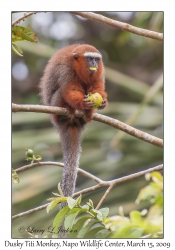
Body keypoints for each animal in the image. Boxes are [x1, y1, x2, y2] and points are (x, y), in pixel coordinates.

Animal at [39, 44, 107, 199]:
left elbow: (97, 87)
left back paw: (86, 115)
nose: (94, 64)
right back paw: (67, 113)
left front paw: (103, 102)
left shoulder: (100, 71)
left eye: (96, 59)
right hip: (54, 107)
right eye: (89, 59)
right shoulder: (66, 69)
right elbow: (70, 89)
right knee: (61, 91)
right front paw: (83, 104)